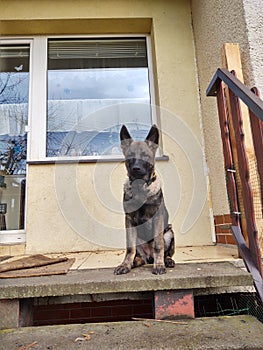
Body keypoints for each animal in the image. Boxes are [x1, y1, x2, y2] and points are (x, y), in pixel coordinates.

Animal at [114, 124, 176, 274]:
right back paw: (133, 263)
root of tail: (149, 257)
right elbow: (129, 248)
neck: (140, 189)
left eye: (145, 156)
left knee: (166, 253)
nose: (136, 168)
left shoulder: (157, 218)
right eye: (130, 156)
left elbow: (158, 245)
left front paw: (159, 266)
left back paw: (166, 261)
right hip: (137, 240)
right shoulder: (129, 220)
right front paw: (125, 265)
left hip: (169, 231)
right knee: (137, 255)